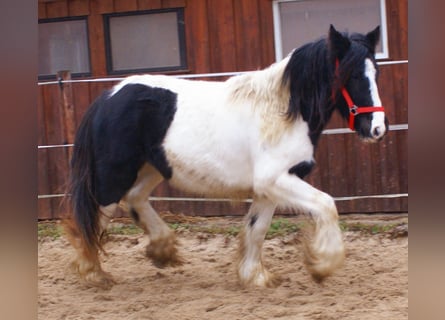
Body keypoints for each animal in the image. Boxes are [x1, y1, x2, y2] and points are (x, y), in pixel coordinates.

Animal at [64, 25, 386, 288]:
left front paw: (255, 276)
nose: (378, 128)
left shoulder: (269, 187)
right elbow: (327, 204)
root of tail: (107, 99)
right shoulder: (275, 180)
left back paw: (163, 250)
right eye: (353, 75)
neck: (284, 112)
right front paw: (321, 265)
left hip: (151, 168)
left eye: (376, 73)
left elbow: (258, 228)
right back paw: (94, 274)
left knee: (135, 198)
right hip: (114, 175)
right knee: (95, 216)